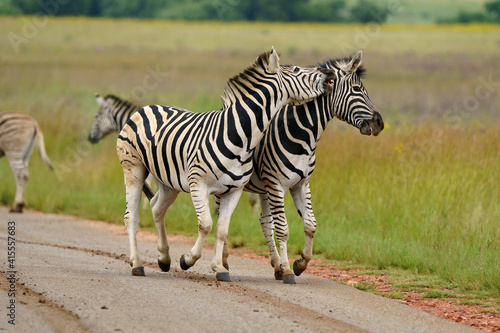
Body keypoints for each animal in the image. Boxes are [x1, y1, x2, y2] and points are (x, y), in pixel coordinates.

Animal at [117, 47, 336, 280]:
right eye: (295, 70)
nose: (330, 74)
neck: (240, 135)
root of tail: (147, 107)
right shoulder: (198, 183)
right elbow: (205, 224)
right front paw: (187, 260)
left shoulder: (234, 189)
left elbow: (221, 229)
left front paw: (219, 269)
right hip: (133, 170)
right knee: (131, 218)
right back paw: (137, 264)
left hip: (168, 181)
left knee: (157, 208)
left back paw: (164, 258)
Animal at [219, 51, 382, 282]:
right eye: (358, 89)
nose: (380, 123)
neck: (303, 135)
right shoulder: (277, 184)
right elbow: (283, 229)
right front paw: (289, 270)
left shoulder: (301, 184)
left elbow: (310, 225)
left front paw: (300, 263)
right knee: (223, 217)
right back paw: (224, 262)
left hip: (263, 187)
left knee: (265, 222)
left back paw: (275, 265)